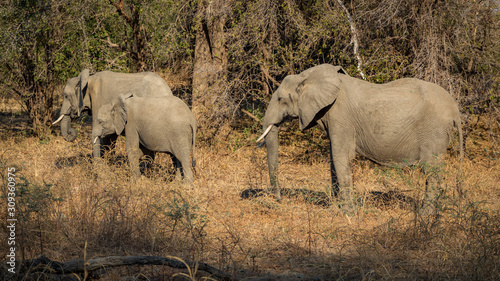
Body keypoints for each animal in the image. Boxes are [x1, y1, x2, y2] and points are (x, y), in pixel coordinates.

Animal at [258, 63, 464, 210]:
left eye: (280, 99)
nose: (279, 199)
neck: (308, 76)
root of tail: (455, 110)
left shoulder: (341, 117)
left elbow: (341, 157)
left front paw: (347, 212)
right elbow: (333, 159)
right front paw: (336, 208)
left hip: (434, 132)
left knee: (432, 171)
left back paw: (425, 214)